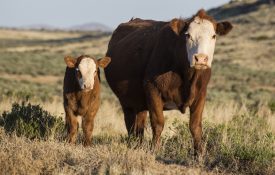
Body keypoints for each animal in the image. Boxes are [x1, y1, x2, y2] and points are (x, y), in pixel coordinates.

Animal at [105, 9, 233, 156]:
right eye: (188, 35)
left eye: (213, 36)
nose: (200, 59)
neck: (187, 76)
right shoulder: (152, 89)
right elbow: (158, 123)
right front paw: (155, 150)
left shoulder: (201, 93)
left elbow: (195, 125)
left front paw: (199, 154)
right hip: (126, 101)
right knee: (130, 124)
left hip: (139, 101)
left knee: (139, 125)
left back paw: (138, 146)